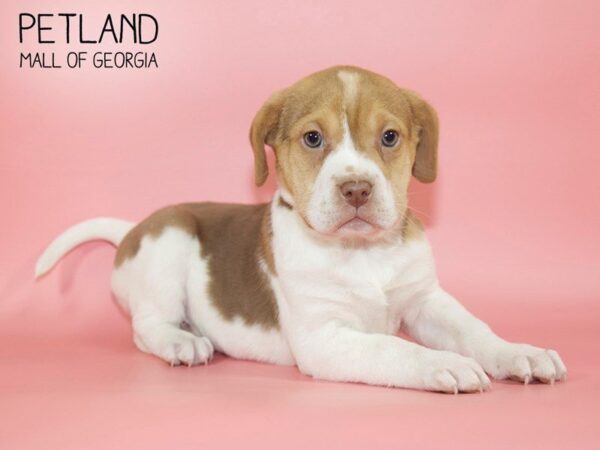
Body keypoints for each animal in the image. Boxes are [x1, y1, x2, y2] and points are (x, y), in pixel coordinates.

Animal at [36, 65, 568, 392]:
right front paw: (444, 363)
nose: (356, 188)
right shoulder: (324, 337)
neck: (361, 252)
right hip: (169, 240)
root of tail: (132, 229)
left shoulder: (425, 301)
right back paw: (180, 341)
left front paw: (518, 352)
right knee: (146, 326)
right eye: (313, 138)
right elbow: (392, 348)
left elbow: (474, 327)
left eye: (389, 137)